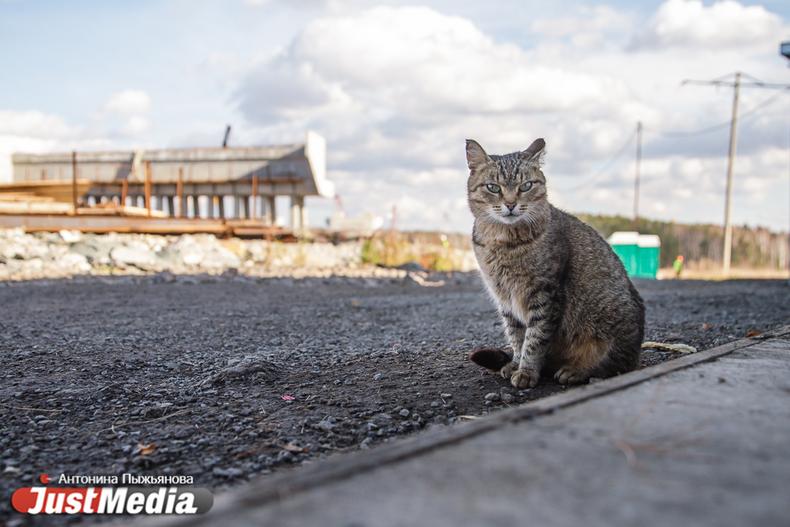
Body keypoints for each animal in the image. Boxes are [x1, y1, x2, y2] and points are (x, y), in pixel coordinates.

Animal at [465, 138, 645, 389]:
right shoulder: (505, 299)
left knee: (613, 365)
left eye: (526, 186)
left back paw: (576, 370)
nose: (510, 204)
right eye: (493, 187)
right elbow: (516, 337)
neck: (503, 241)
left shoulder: (545, 294)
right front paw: (516, 363)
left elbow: (534, 339)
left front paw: (527, 371)